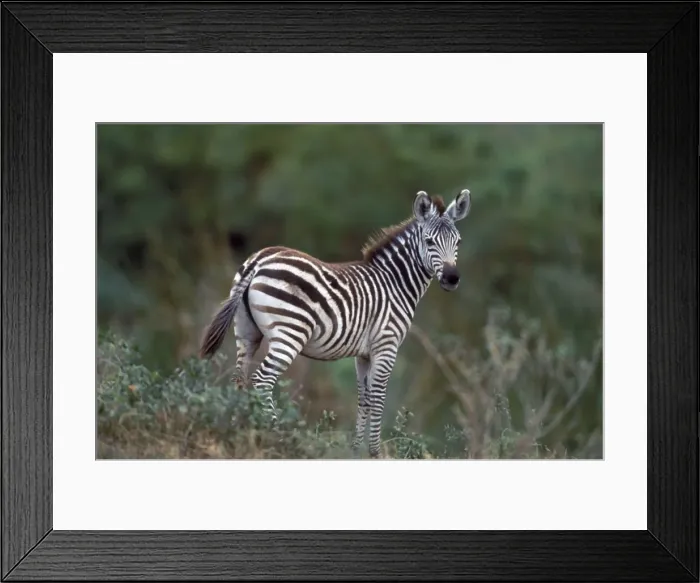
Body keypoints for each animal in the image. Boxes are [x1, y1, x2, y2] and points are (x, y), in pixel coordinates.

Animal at [199, 188, 471, 458]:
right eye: (429, 241)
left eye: (458, 242)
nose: (452, 278)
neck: (395, 283)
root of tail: (259, 260)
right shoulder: (386, 346)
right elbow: (378, 398)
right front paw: (375, 452)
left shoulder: (363, 354)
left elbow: (364, 398)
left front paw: (356, 451)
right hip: (289, 334)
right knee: (261, 381)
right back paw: (278, 437)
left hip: (247, 333)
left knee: (239, 380)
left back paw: (239, 434)